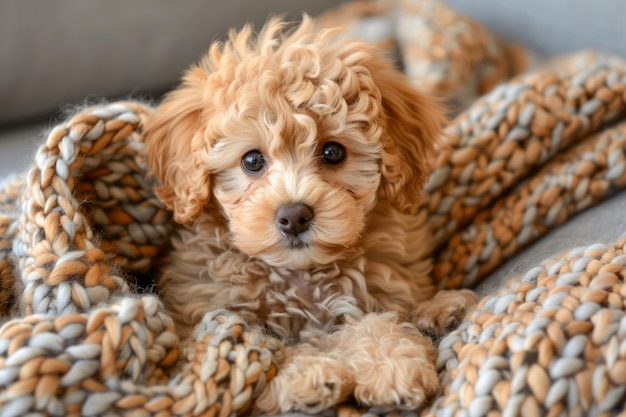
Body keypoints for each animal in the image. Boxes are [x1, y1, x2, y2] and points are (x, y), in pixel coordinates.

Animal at [141, 16, 472, 412]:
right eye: (252, 160)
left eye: (333, 152)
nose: (294, 216)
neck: (300, 275)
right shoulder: (202, 321)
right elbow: (260, 347)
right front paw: (308, 373)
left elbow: (372, 321)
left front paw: (392, 364)